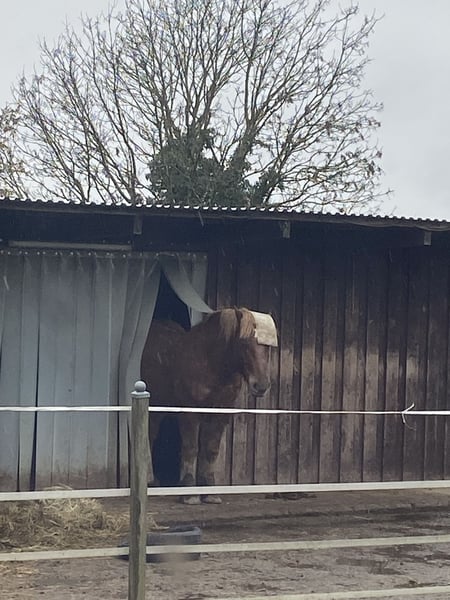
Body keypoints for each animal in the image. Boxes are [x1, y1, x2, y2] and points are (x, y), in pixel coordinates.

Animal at [141, 307, 276, 504]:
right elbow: (191, 449)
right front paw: (189, 493)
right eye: (243, 343)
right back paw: (150, 480)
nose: (261, 386)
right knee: (150, 436)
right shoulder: (190, 413)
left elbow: (211, 449)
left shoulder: (220, 413)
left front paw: (210, 492)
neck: (209, 365)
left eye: (268, 347)